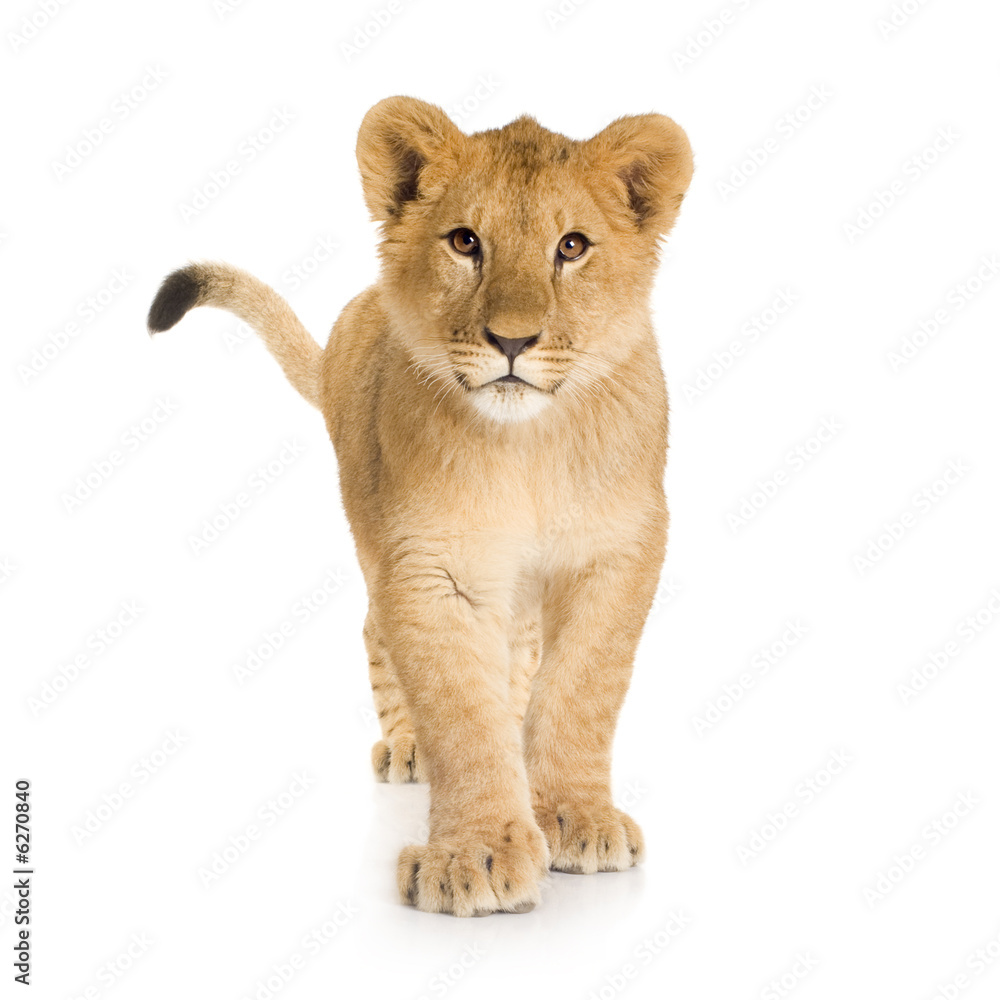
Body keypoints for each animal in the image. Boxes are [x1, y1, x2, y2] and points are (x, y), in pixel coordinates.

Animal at [148, 96, 693, 916]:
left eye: (572, 246)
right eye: (466, 242)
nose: (512, 340)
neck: (526, 448)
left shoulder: (619, 550)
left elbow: (581, 689)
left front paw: (576, 816)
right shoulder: (430, 563)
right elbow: (457, 708)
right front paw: (477, 854)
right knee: (378, 630)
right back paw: (411, 747)